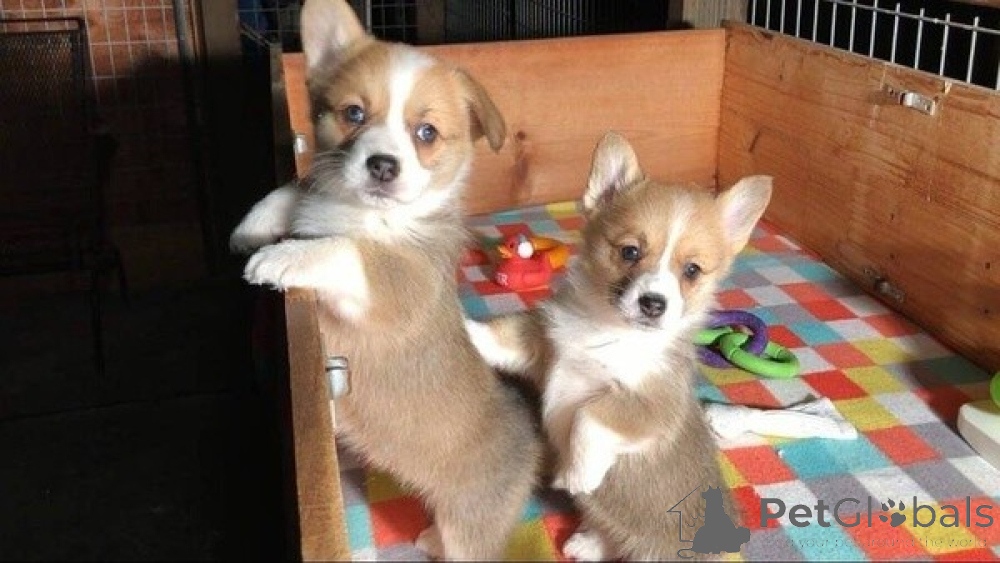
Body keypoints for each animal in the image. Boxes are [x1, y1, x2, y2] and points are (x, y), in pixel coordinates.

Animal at [229, 0, 541, 558]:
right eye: (354, 113)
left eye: (426, 133)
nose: (381, 165)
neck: (365, 213)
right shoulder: (318, 193)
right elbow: (295, 189)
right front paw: (253, 227)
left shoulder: (400, 284)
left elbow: (345, 250)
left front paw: (280, 257)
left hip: (469, 523)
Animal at [466, 132, 772, 560]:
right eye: (630, 251)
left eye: (692, 270)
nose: (653, 304)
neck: (608, 329)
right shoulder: (544, 347)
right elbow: (500, 335)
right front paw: (459, 328)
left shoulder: (650, 407)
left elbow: (591, 414)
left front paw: (578, 473)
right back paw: (586, 543)